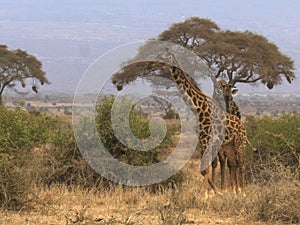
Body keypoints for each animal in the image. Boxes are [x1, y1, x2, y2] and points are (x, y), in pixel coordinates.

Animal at [156, 51, 247, 196]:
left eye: (165, 55)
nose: (156, 59)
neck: (198, 108)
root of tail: (243, 126)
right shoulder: (201, 138)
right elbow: (203, 168)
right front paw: (214, 192)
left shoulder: (206, 138)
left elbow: (207, 167)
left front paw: (206, 195)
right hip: (229, 145)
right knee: (233, 163)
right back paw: (233, 191)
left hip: (239, 142)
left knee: (242, 163)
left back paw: (241, 192)